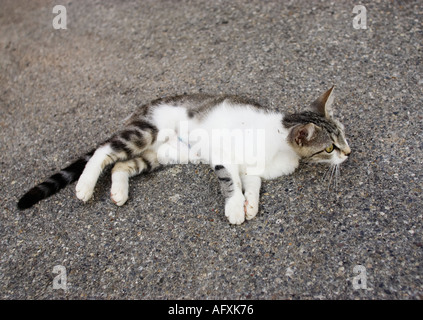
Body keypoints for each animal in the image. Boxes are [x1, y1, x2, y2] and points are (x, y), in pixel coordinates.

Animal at [17, 86, 352, 224]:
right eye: (329, 147)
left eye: (343, 135)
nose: (348, 153)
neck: (276, 140)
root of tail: (138, 110)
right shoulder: (223, 153)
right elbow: (230, 181)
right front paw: (235, 207)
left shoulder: (253, 169)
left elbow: (253, 184)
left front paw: (250, 204)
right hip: (145, 132)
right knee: (103, 151)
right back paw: (85, 186)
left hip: (160, 155)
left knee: (120, 165)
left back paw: (118, 191)